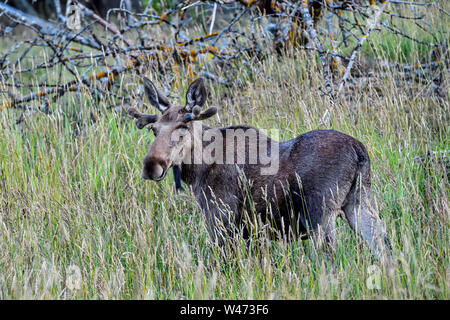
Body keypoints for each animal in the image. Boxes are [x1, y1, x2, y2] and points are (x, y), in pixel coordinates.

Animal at [128, 77, 392, 260]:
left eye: (182, 127)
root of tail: (359, 151)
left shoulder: (221, 218)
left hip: (320, 213)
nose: (151, 166)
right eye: (154, 129)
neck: (197, 171)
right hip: (359, 201)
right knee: (384, 245)